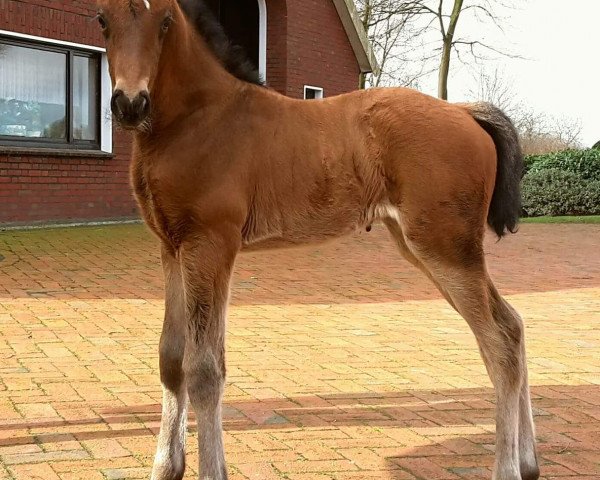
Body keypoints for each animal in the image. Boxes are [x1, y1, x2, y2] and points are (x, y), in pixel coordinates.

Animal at [97, 0, 540, 480]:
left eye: (164, 21)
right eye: (102, 20)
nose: (129, 103)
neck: (200, 117)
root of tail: (463, 110)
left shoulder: (210, 244)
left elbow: (204, 369)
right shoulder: (170, 246)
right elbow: (171, 359)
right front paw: (165, 467)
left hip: (446, 248)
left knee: (498, 343)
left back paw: (508, 467)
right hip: (428, 247)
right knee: (513, 325)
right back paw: (529, 461)